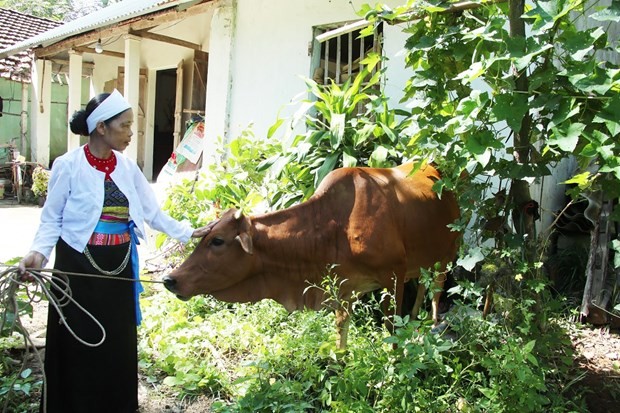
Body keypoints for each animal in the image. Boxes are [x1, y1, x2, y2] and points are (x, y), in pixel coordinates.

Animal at [162, 163, 458, 346]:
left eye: (218, 241)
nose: (169, 279)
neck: (338, 226)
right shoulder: (344, 287)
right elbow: (341, 332)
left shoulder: (394, 275)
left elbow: (392, 330)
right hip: (423, 262)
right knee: (424, 285)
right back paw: (418, 318)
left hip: (448, 253)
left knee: (437, 288)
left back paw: (433, 324)